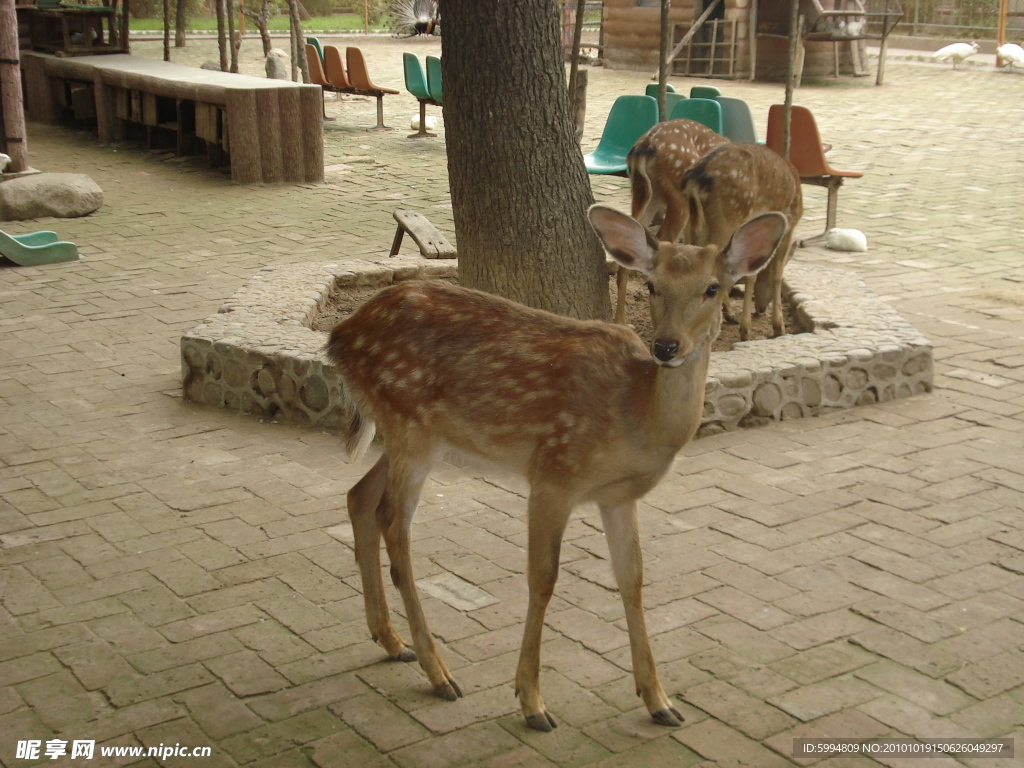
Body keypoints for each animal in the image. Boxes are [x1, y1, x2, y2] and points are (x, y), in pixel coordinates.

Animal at [323, 204, 786, 733]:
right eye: (653, 285)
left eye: (712, 287)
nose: (666, 347)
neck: (634, 413)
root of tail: (338, 336)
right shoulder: (553, 473)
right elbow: (543, 579)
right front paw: (531, 701)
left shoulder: (618, 496)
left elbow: (633, 579)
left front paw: (659, 701)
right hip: (408, 424)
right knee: (394, 526)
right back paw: (439, 672)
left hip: (416, 434)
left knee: (359, 497)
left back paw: (391, 641)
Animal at [684, 143, 802, 342]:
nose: (761, 308)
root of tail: (697, 176)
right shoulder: (790, 223)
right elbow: (775, 274)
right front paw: (775, 327)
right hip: (729, 214)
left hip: (693, 221)